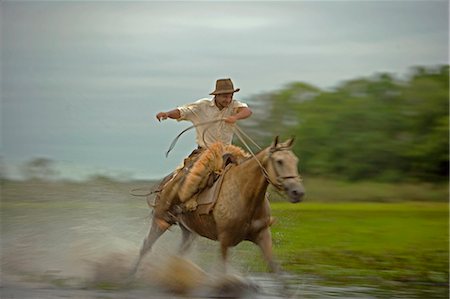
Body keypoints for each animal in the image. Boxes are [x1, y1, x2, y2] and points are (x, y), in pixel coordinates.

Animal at [130, 137, 306, 276]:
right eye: (279, 161)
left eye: (296, 160)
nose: (298, 192)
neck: (244, 193)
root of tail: (167, 181)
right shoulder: (225, 239)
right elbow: (221, 272)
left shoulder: (262, 235)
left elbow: (277, 271)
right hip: (161, 221)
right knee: (146, 246)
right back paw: (131, 276)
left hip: (188, 231)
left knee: (177, 254)